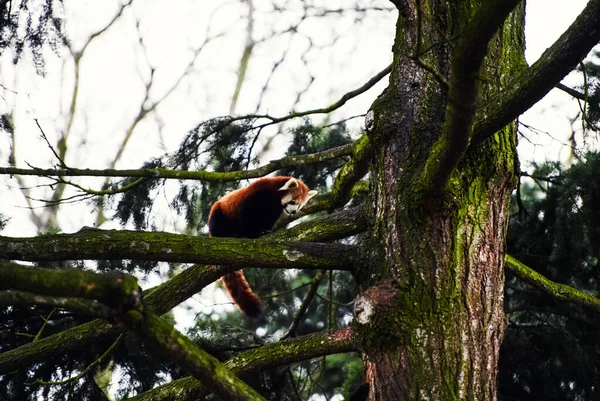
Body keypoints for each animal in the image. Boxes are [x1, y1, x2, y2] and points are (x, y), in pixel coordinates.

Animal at [207, 177, 316, 318]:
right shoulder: (255, 196)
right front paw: (252, 233)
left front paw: (264, 231)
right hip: (219, 212)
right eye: (293, 201)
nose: (293, 212)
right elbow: (247, 215)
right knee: (217, 224)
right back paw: (230, 234)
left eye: (300, 205)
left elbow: (267, 221)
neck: (273, 197)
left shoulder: (273, 212)